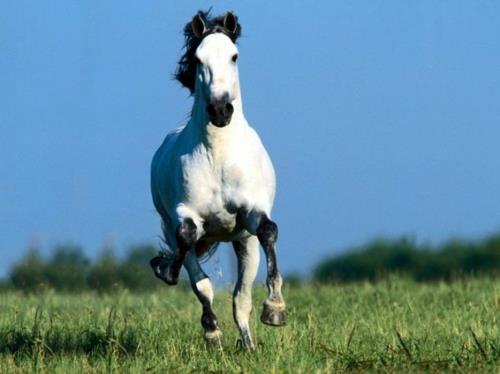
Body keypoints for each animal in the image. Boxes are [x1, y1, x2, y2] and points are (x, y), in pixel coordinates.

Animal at [149, 10, 286, 350]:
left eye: (234, 56)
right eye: (199, 59)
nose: (221, 109)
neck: (219, 154)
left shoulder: (253, 212)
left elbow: (269, 230)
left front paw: (275, 309)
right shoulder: (184, 216)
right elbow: (188, 248)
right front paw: (164, 270)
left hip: (243, 243)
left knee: (241, 298)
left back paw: (249, 345)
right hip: (173, 225)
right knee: (200, 278)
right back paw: (214, 334)